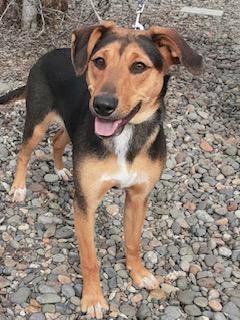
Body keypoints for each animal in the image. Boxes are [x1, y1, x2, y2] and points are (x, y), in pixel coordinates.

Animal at [0, 21, 202, 318]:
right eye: (99, 61)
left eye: (139, 66)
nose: (102, 106)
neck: (124, 136)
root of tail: (48, 54)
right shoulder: (85, 204)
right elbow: (90, 258)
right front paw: (94, 299)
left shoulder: (138, 197)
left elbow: (133, 242)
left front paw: (138, 273)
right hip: (36, 120)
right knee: (24, 153)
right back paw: (18, 188)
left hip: (69, 124)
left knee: (57, 139)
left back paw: (60, 170)